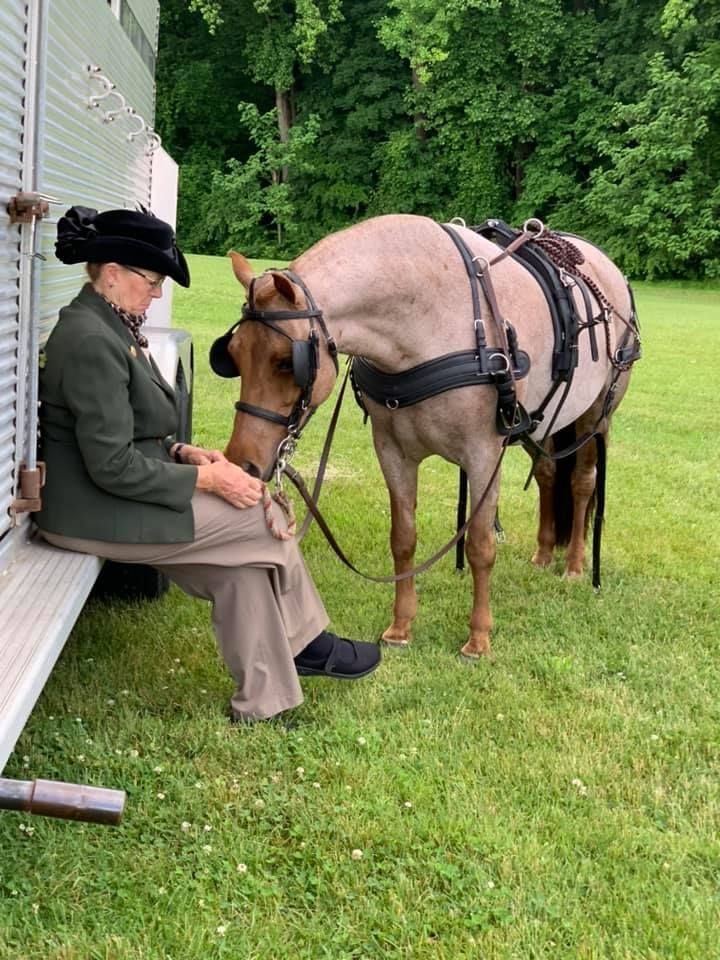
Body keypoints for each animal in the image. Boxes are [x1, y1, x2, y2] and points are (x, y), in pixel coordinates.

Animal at [209, 214, 640, 659]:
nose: (242, 463)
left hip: (596, 416)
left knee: (582, 483)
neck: (427, 318)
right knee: (548, 475)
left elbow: (480, 546)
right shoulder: (393, 451)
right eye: (233, 354)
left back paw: (574, 565)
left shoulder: (484, 455)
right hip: (545, 422)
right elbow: (403, 539)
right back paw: (542, 553)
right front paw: (401, 627)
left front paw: (478, 638)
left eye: (284, 361)